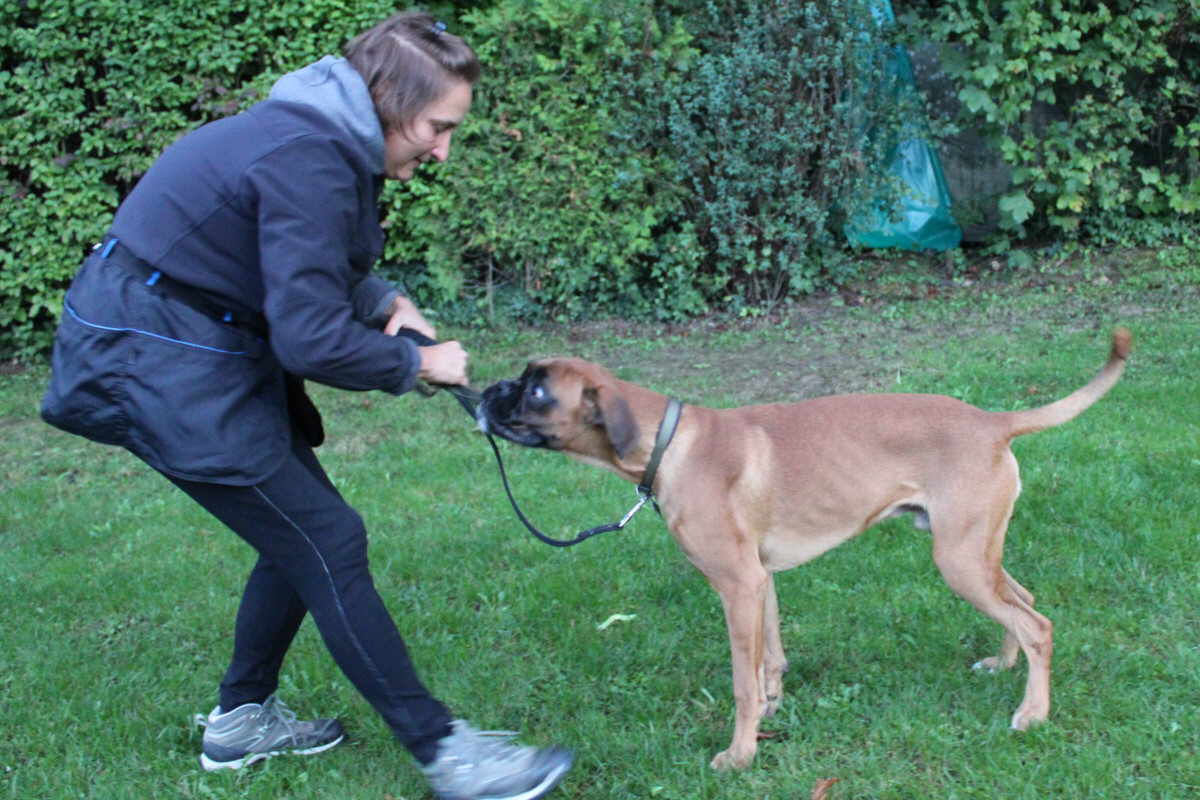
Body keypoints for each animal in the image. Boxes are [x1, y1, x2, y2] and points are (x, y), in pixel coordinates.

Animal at [476, 329, 1131, 769]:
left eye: (536, 389)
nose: (484, 392)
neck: (669, 442)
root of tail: (992, 421)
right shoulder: (759, 580)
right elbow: (770, 659)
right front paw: (772, 708)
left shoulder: (737, 586)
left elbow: (741, 680)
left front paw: (739, 755)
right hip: (976, 554)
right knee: (1024, 604)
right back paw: (1004, 664)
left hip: (961, 562)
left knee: (1037, 624)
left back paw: (1033, 713)